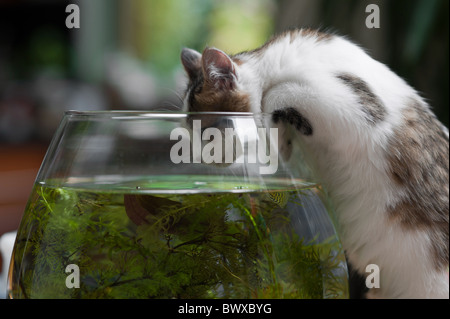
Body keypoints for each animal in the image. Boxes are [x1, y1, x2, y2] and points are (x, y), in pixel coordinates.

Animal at [180, 28, 450, 300]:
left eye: (206, 134)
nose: (201, 158)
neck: (272, 64)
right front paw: (281, 139)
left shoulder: (355, 106)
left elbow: (276, 94)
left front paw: (274, 124)